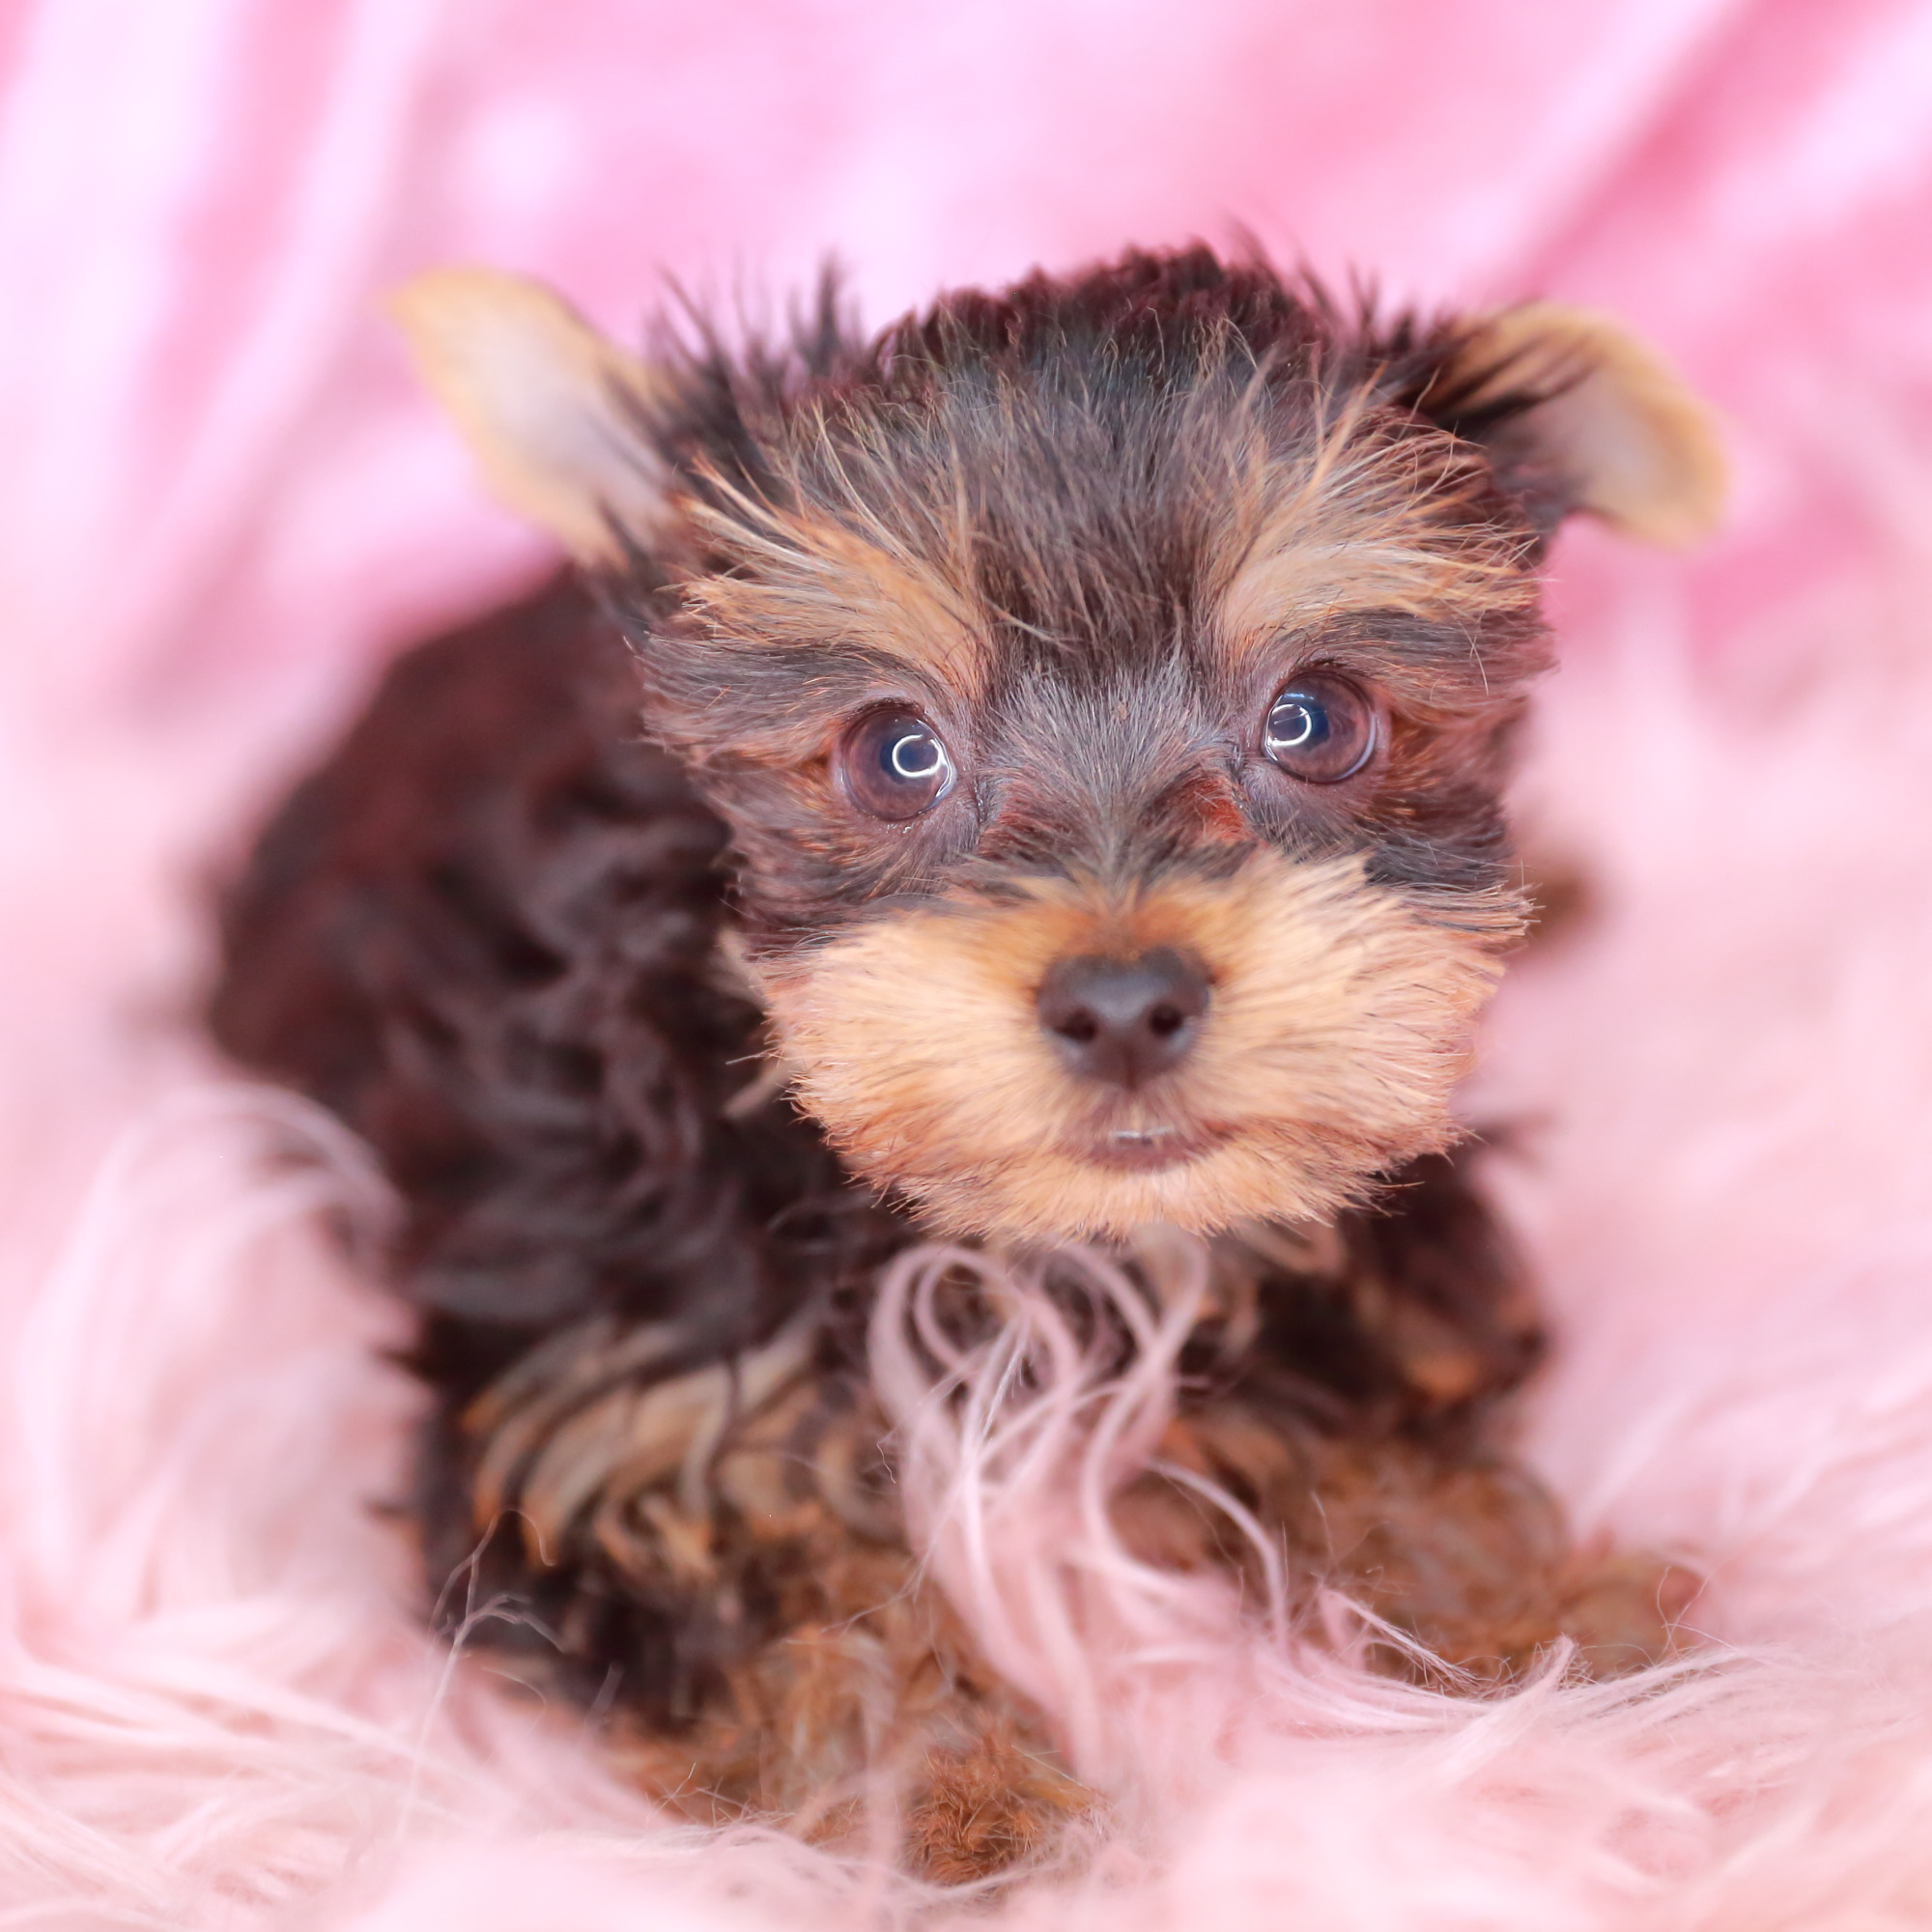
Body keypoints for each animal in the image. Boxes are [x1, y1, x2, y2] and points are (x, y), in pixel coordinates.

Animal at [208, 242, 1723, 1870]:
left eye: (1317, 719)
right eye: (896, 753)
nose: (1123, 1003)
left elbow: (1380, 1399)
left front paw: (1536, 1623)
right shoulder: (619, 1392)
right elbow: (790, 1602)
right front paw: (950, 1807)